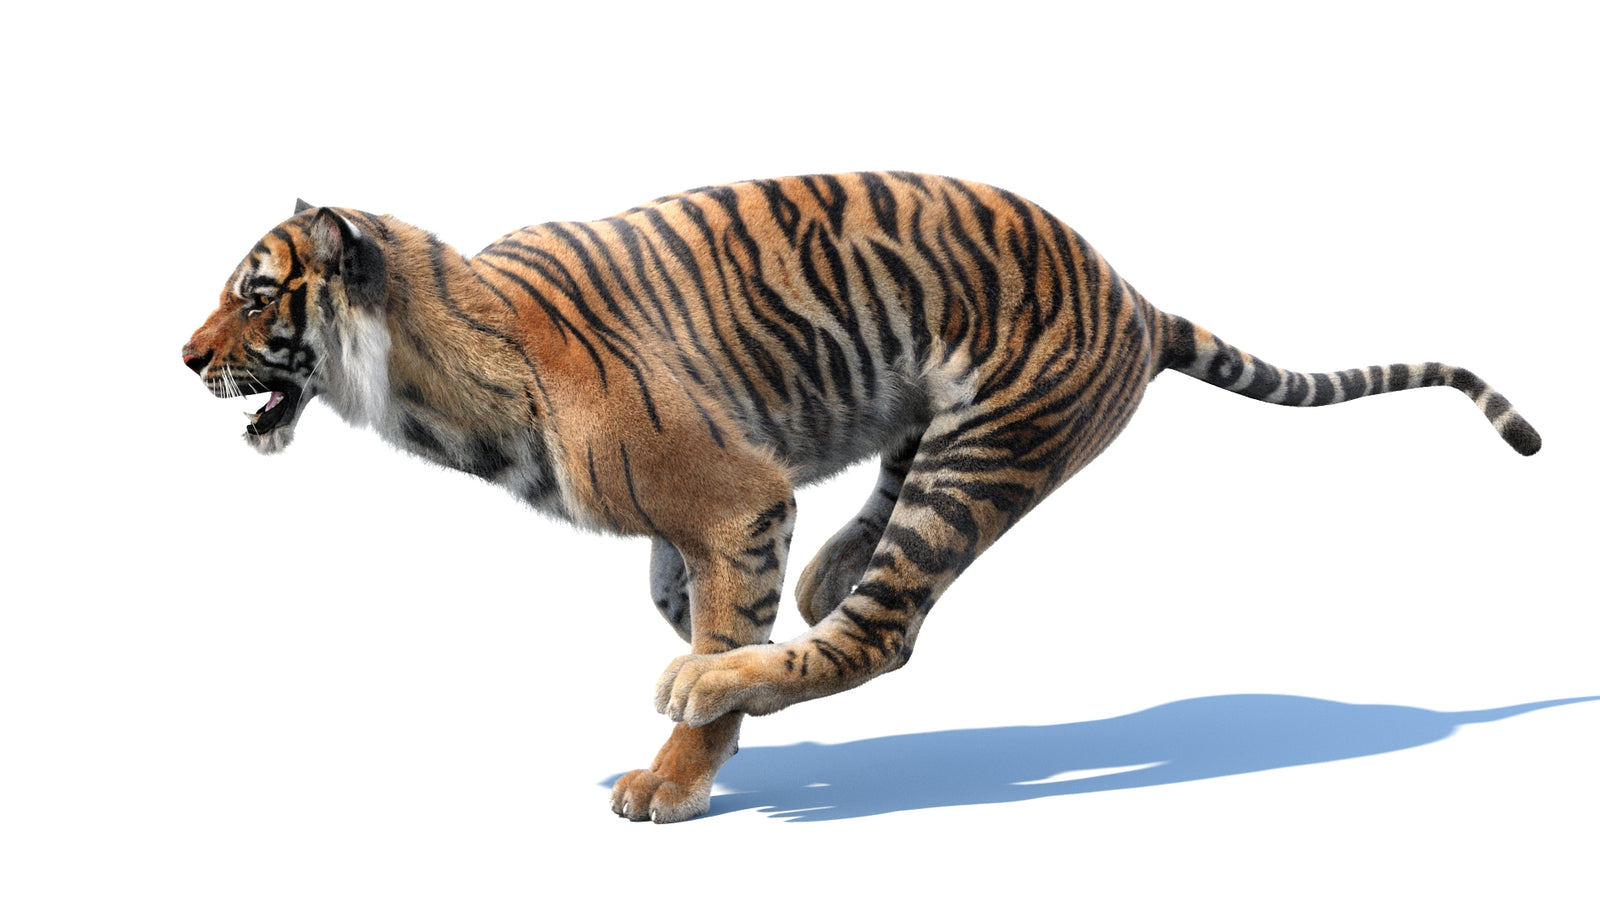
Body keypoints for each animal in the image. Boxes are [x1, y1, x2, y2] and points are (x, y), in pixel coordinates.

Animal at [182, 172, 1540, 823]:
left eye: (256, 295)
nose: (185, 358)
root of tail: (1138, 295)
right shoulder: (721, 518)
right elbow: (686, 595)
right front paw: (719, 693)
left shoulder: (734, 500)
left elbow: (715, 630)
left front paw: (677, 772)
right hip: (929, 431)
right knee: (861, 560)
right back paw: (825, 576)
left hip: (981, 457)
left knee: (885, 634)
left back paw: (770, 650)